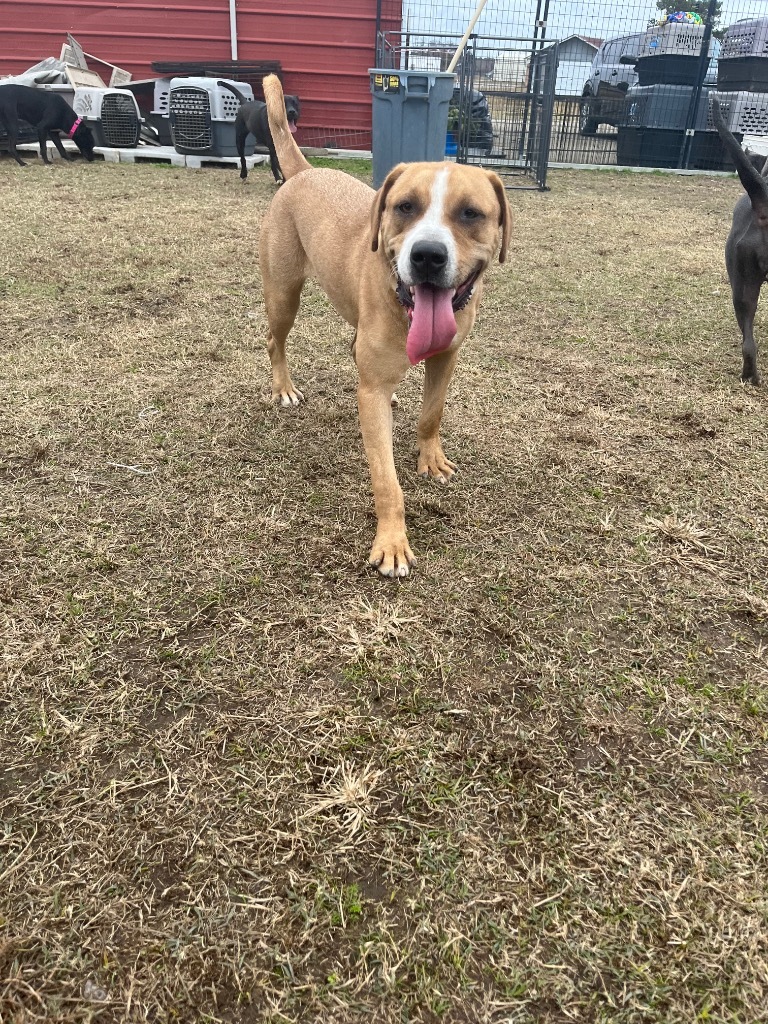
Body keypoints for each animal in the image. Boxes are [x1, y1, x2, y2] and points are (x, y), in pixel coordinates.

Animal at [262, 74, 514, 577]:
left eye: (471, 213)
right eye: (405, 207)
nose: (428, 255)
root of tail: (303, 172)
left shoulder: (446, 357)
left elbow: (432, 413)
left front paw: (431, 459)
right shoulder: (372, 392)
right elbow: (386, 479)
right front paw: (393, 542)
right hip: (283, 296)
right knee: (274, 341)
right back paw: (284, 387)